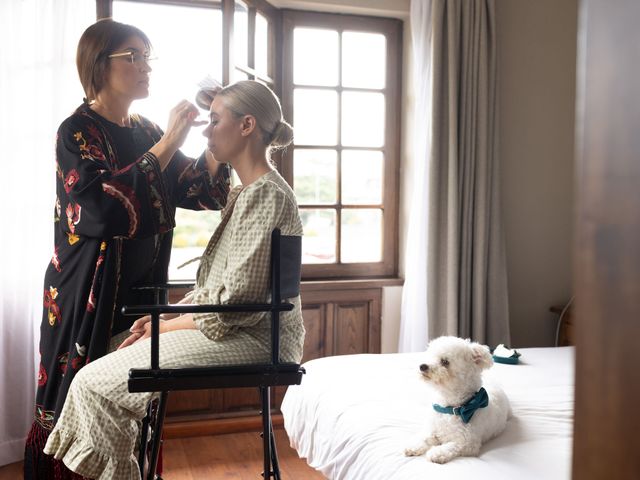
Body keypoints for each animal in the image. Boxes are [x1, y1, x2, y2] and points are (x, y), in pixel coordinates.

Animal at [404, 336, 510, 464]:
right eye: (430, 356)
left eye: (445, 362)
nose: (422, 366)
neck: (449, 408)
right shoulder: (432, 430)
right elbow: (424, 437)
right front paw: (414, 445)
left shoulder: (468, 443)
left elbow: (451, 446)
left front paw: (437, 453)